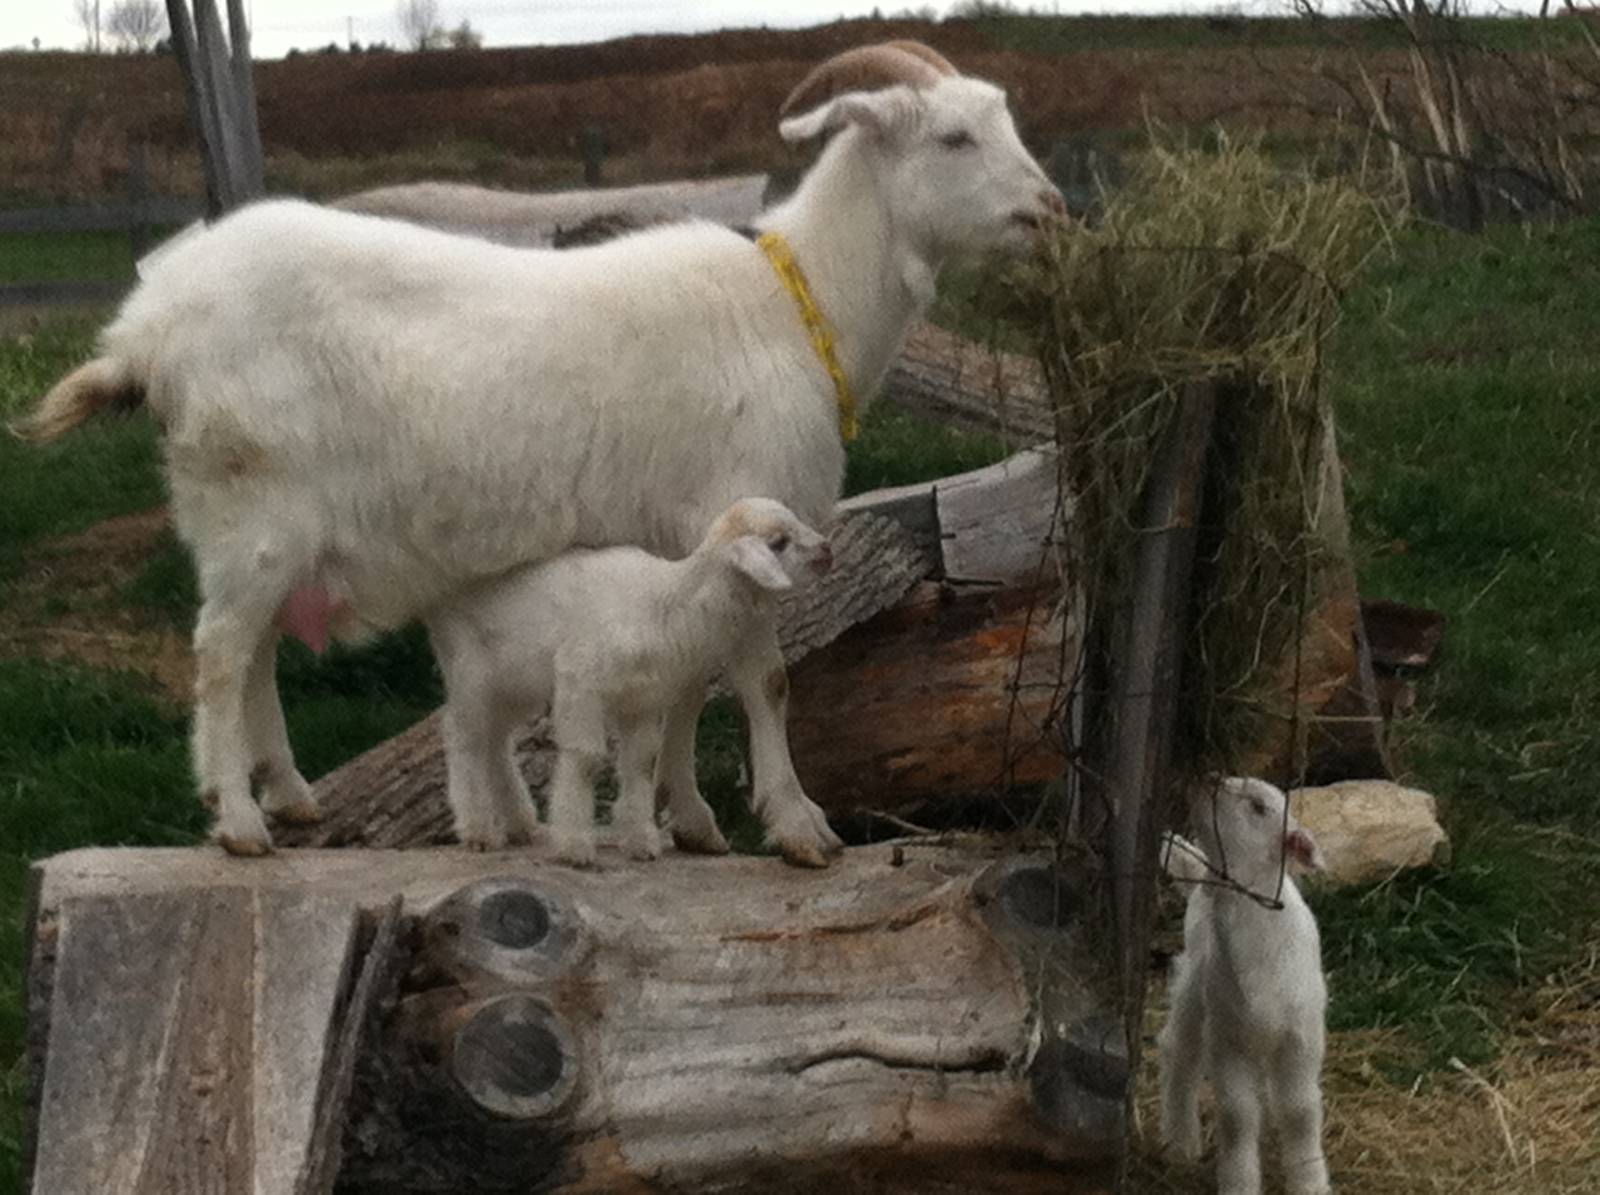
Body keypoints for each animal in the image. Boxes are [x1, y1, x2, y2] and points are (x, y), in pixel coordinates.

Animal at [428, 497, 830, 865]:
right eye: (778, 542)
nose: (827, 550)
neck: (669, 603)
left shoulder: (641, 698)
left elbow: (640, 761)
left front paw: (641, 842)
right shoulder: (580, 679)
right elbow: (586, 759)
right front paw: (574, 846)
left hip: (515, 681)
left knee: (496, 739)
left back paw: (519, 823)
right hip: (470, 669)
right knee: (464, 737)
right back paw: (479, 829)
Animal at [1159, 778, 1332, 1195]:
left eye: (1258, 807)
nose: (1204, 782)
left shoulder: (1301, 1040)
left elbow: (1301, 1113)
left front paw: (1310, 1181)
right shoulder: (1228, 1039)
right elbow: (1237, 1117)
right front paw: (1239, 1181)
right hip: (1194, 988)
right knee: (1179, 1052)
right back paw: (1181, 1140)